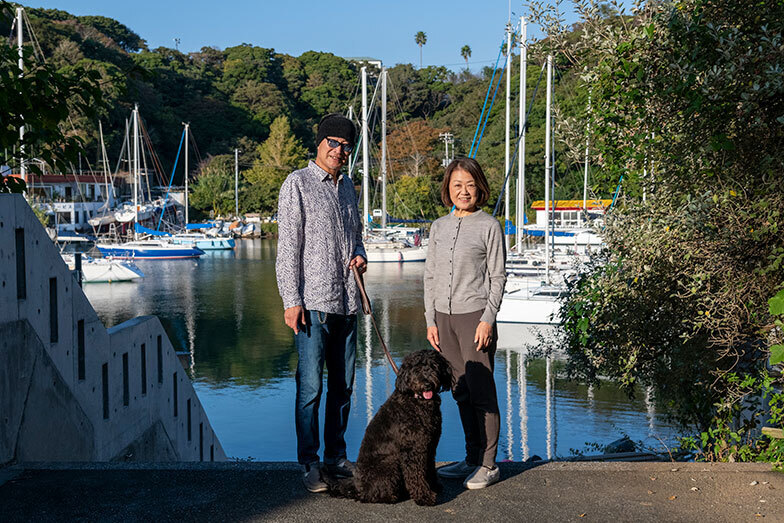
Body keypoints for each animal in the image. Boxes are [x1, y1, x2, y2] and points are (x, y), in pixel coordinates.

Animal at [326, 350, 454, 506]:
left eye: (433, 366)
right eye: (416, 369)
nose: (427, 384)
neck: (418, 401)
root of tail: (358, 489)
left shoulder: (430, 445)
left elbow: (429, 468)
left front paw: (434, 485)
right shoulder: (412, 450)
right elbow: (416, 474)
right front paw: (424, 497)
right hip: (390, 464)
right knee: (374, 496)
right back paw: (393, 496)